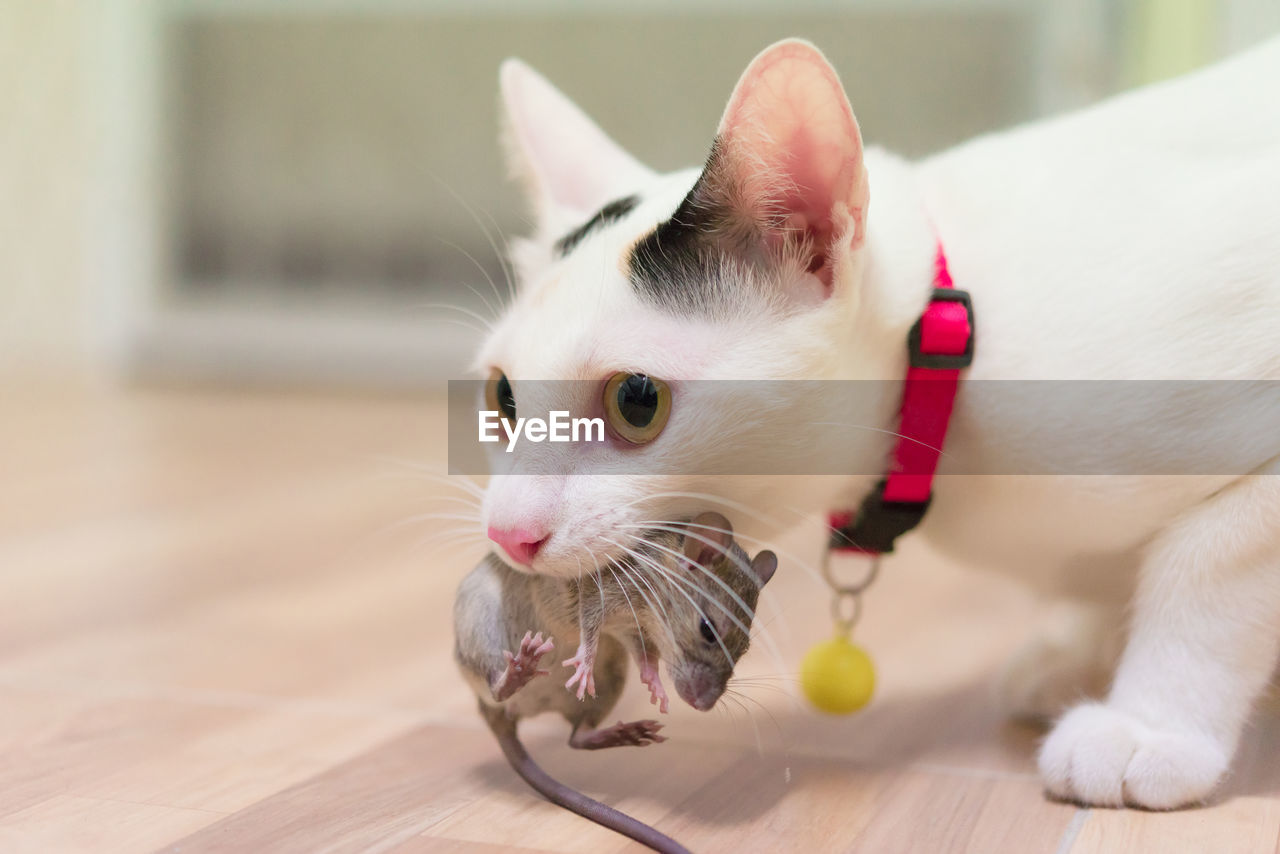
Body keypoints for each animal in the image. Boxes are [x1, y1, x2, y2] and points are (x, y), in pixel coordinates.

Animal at [476, 36, 1280, 814]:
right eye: (504, 398)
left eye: (637, 400)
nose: (507, 533)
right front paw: (1079, 650)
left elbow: (1204, 571)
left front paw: (1148, 726)